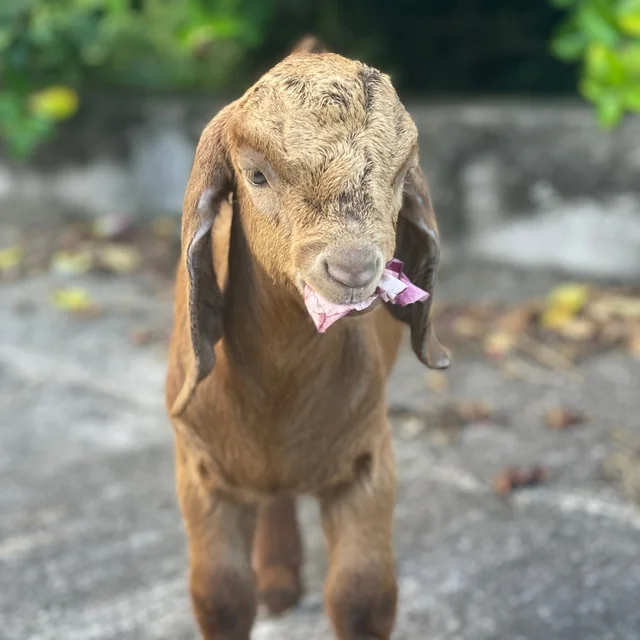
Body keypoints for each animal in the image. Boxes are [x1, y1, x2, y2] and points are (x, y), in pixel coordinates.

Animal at [164, 36, 450, 640]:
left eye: (400, 176)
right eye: (256, 175)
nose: (352, 268)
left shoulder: (368, 461)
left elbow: (363, 595)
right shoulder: (199, 471)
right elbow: (220, 597)